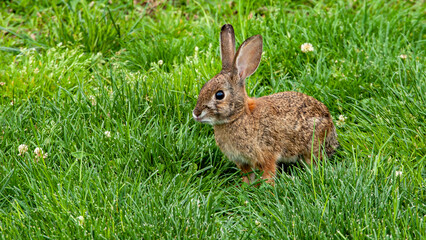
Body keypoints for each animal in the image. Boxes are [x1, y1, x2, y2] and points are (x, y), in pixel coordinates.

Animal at [193, 24, 340, 184]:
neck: (238, 116)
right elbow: (247, 176)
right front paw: (245, 187)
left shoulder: (267, 153)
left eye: (219, 95)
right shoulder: (243, 162)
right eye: (203, 87)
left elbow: (269, 172)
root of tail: (330, 124)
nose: (196, 113)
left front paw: (268, 186)